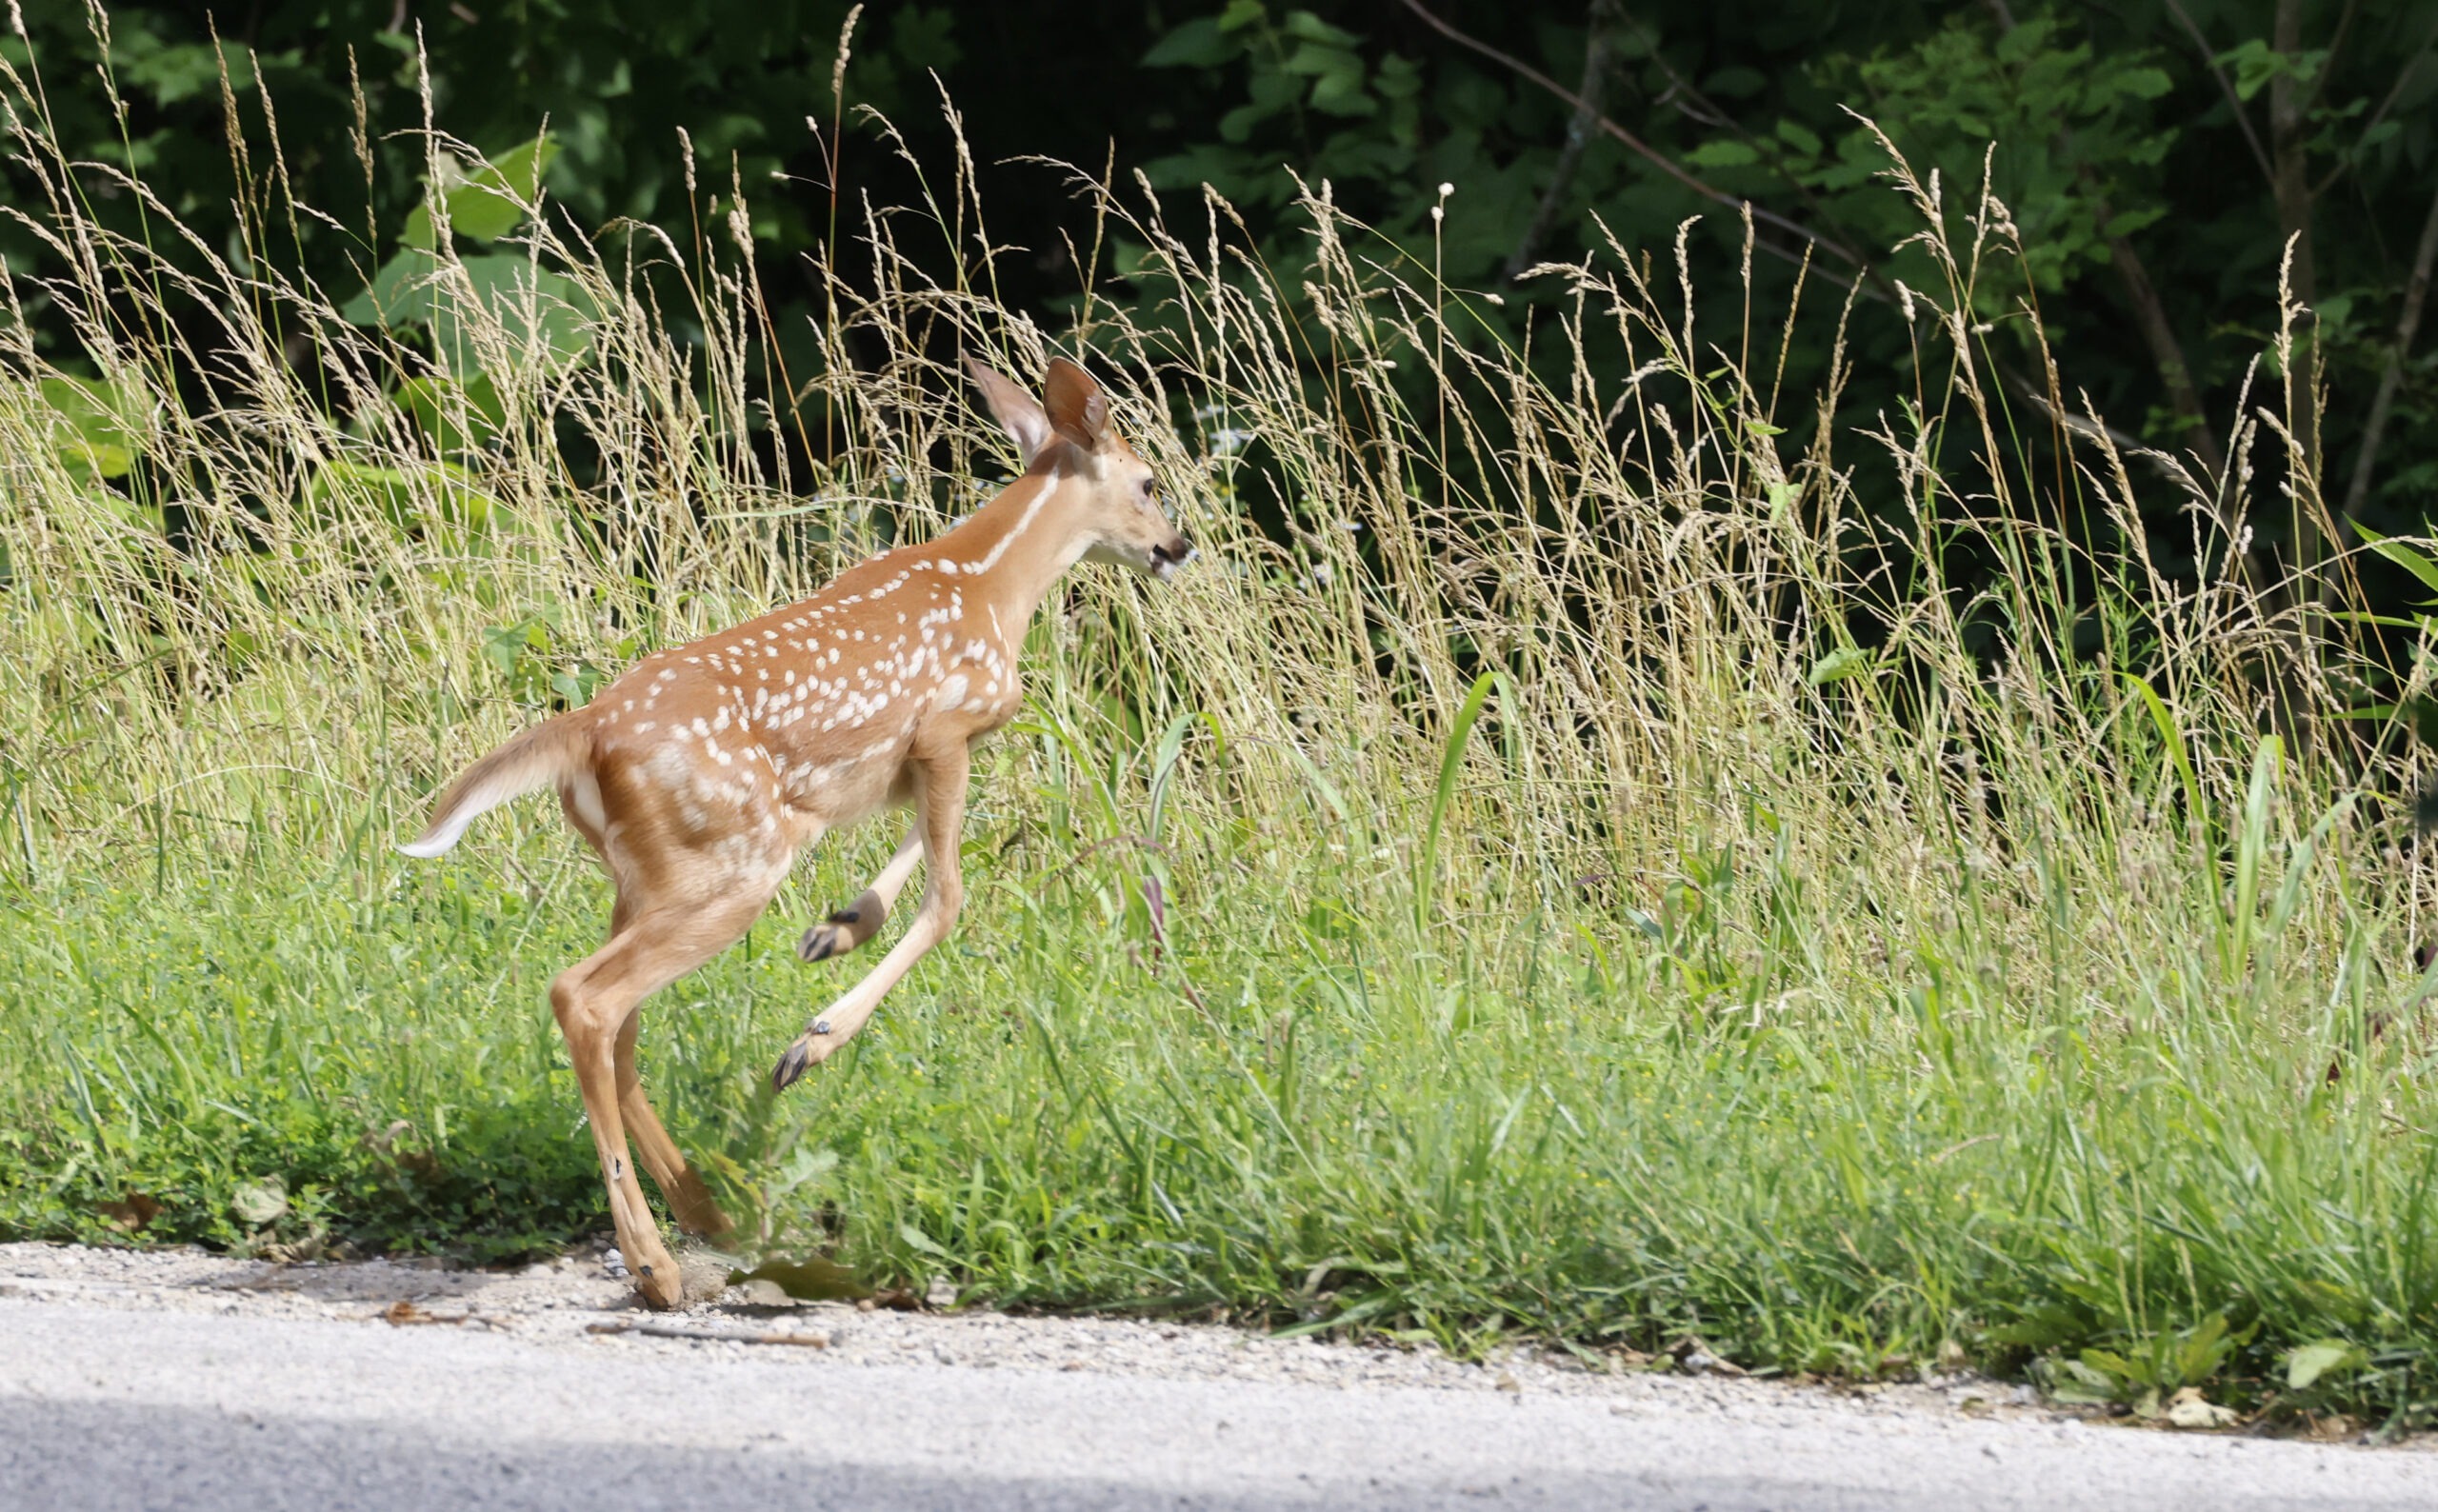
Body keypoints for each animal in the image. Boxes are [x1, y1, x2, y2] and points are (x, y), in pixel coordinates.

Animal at [398, 357, 1193, 1309]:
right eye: (1148, 481)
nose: (1180, 545)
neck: (993, 584)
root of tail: (584, 732)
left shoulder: (906, 763)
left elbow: (925, 852)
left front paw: (837, 927)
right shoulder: (946, 726)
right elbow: (950, 896)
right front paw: (813, 1041)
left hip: (648, 874)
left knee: (619, 1022)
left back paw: (706, 1210)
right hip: (736, 866)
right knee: (584, 998)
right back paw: (656, 1263)